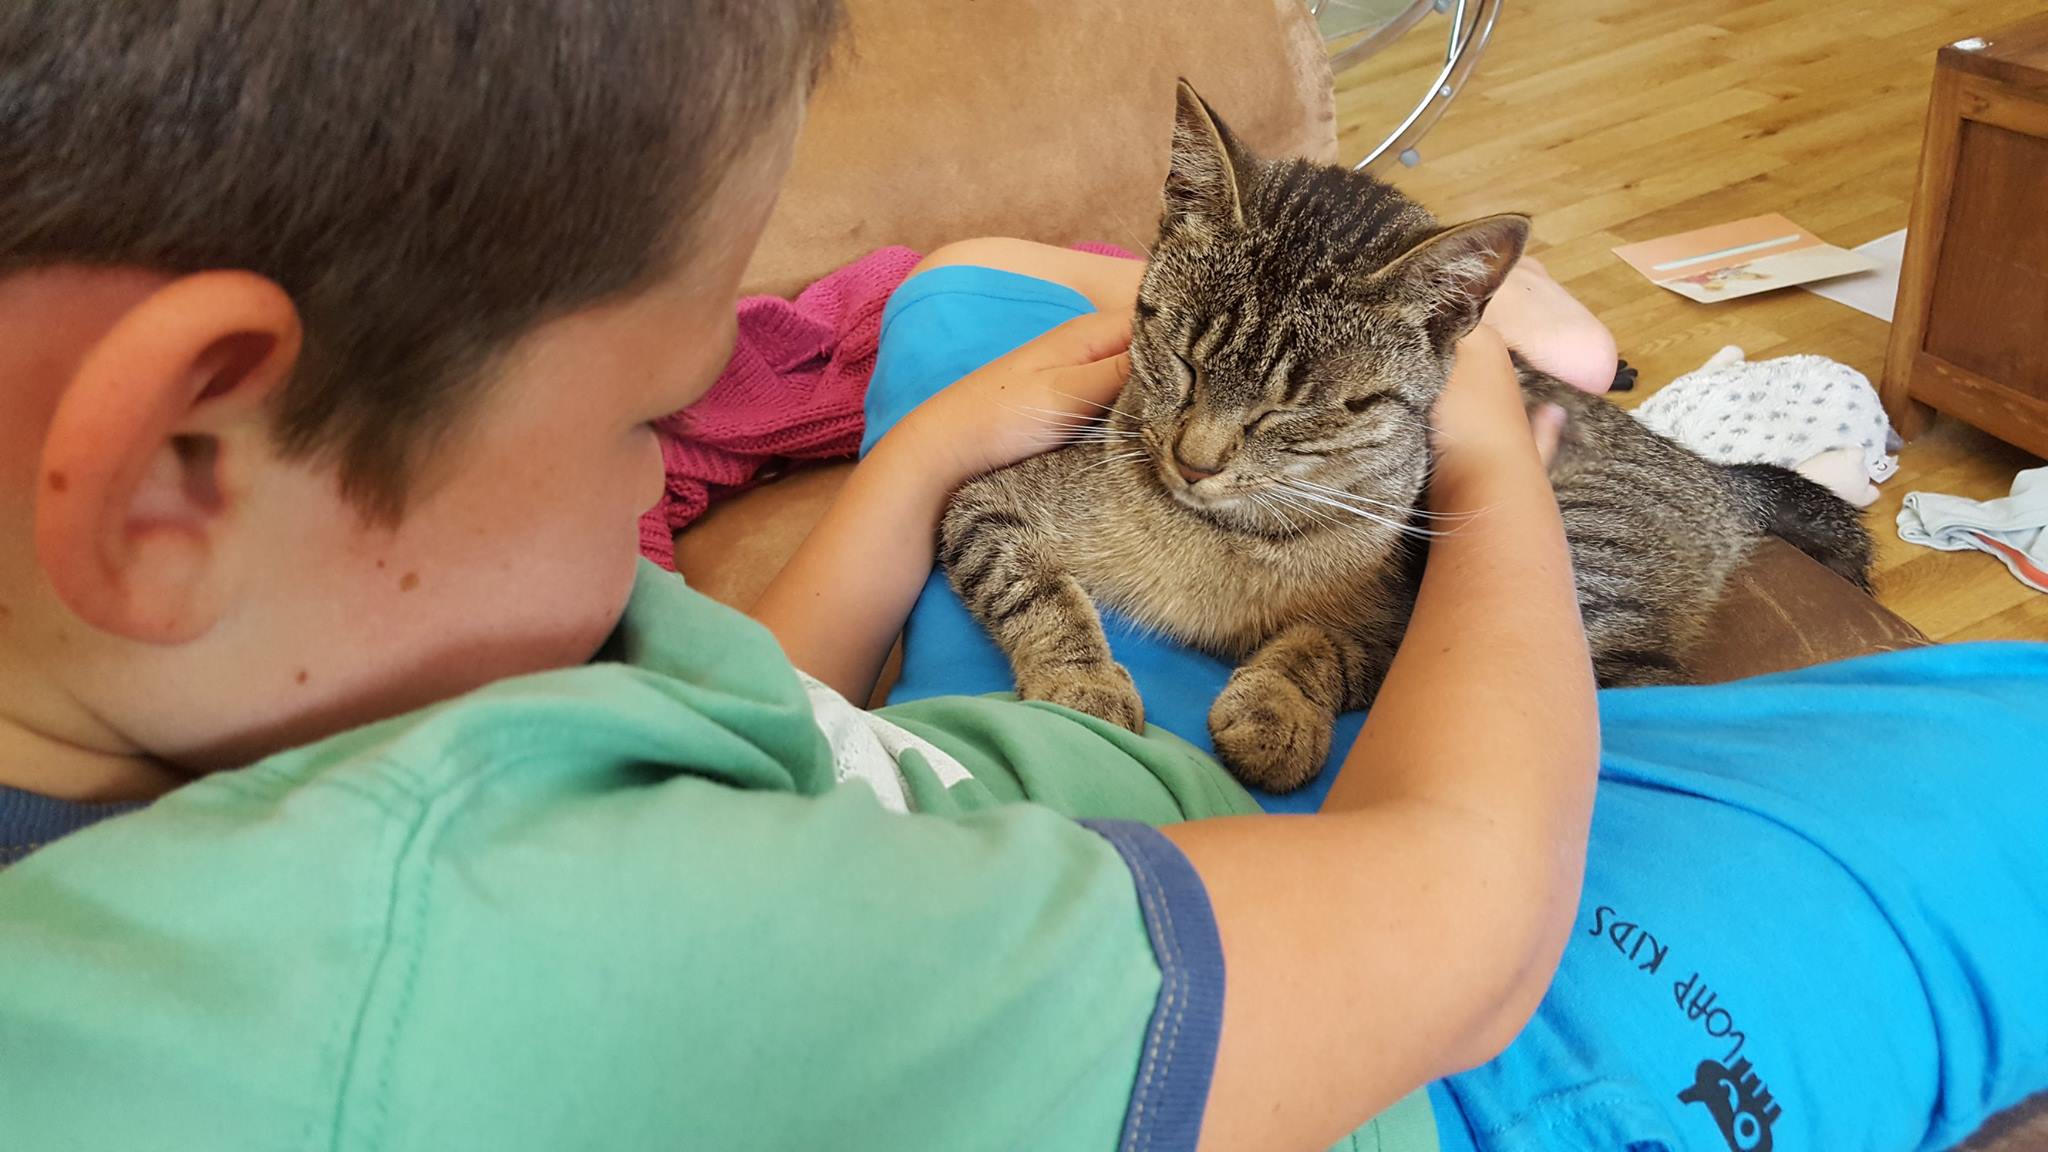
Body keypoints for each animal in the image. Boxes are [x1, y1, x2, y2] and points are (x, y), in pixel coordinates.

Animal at [938, 80, 1873, 794]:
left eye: (1295, 407)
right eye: (1181, 354)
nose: (1192, 461)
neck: (1230, 534)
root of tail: (1719, 474)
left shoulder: (1403, 631)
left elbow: (1323, 647)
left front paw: (1276, 710)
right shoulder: (983, 501)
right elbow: (1038, 590)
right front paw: (1080, 685)